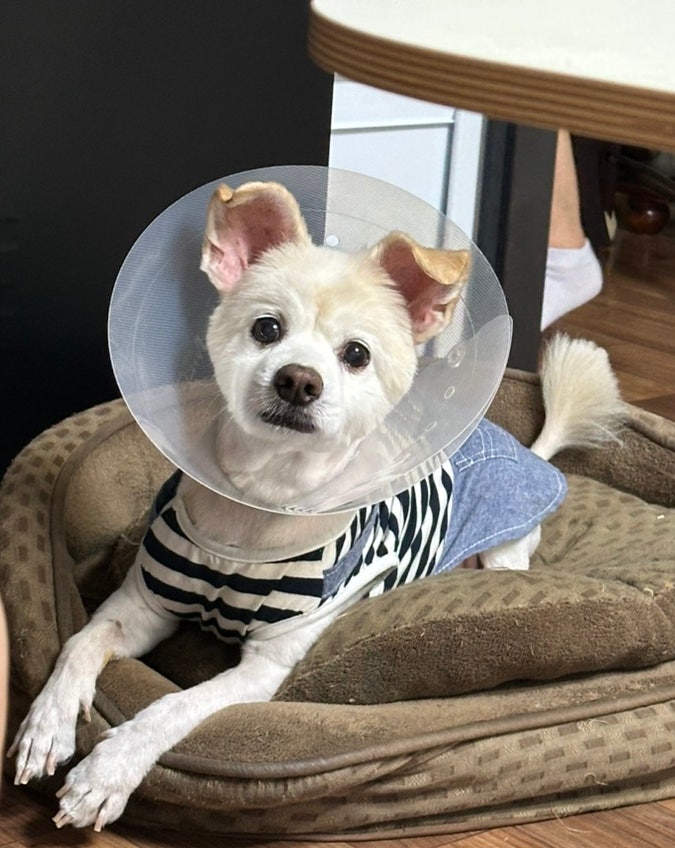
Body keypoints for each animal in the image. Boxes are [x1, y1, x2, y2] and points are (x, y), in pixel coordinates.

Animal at [8, 181, 624, 830]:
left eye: (356, 354)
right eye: (266, 329)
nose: (298, 380)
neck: (259, 503)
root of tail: (525, 448)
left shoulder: (263, 669)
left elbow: (172, 706)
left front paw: (108, 771)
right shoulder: (141, 607)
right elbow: (79, 644)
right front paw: (46, 725)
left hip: (506, 549)